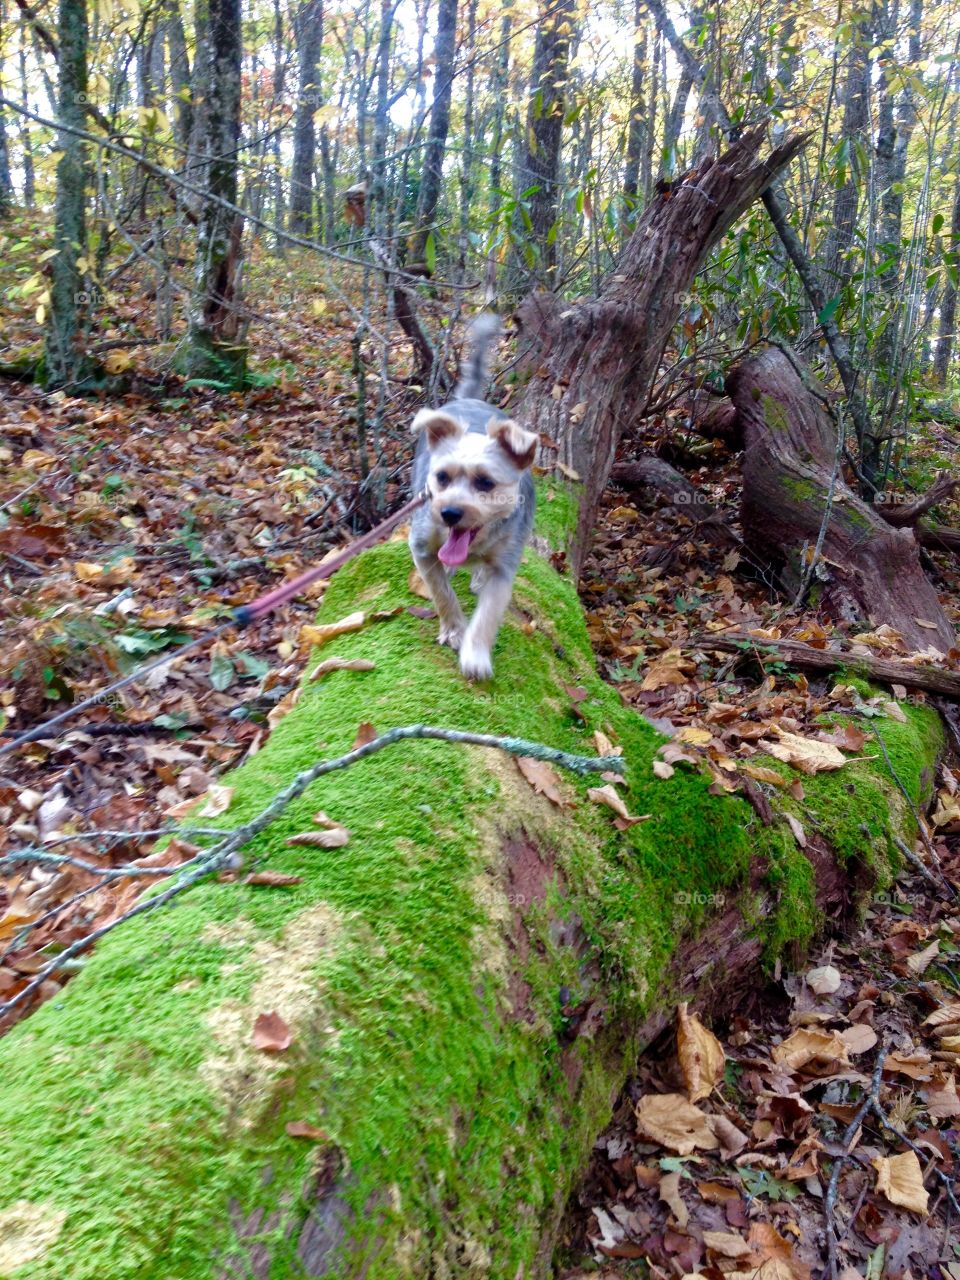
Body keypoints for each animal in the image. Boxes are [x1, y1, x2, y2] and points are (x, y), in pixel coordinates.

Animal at [407, 313, 542, 680]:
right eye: (441, 477)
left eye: (485, 482)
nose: (449, 513)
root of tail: (470, 400)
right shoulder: (422, 547)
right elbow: (441, 592)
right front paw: (454, 629)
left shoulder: (505, 565)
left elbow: (489, 613)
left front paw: (475, 653)